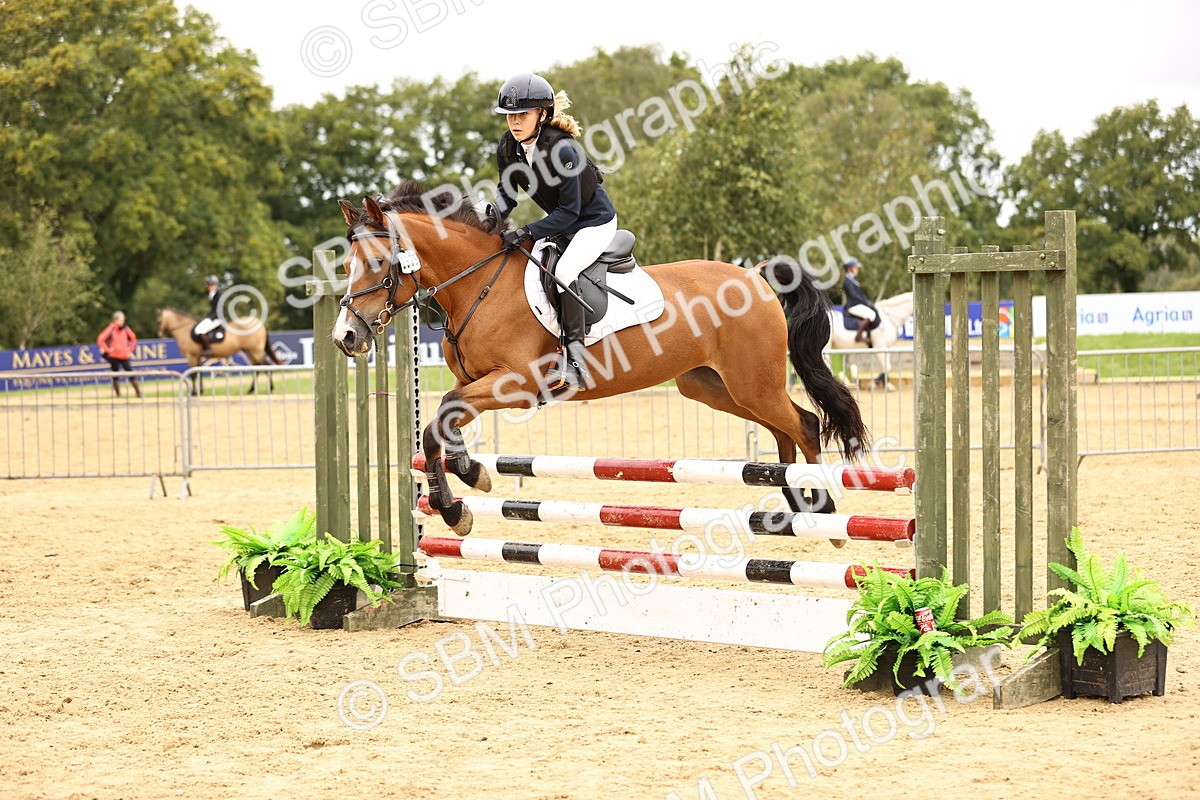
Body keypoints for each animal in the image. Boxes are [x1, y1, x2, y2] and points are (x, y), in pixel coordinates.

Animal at [332, 183, 870, 537]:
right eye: (345, 265)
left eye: (377, 264)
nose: (345, 337)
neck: (477, 283)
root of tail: (756, 277)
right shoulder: (478, 384)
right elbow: (445, 420)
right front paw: (471, 475)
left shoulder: (515, 383)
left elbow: (439, 417)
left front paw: (453, 509)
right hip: (715, 387)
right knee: (785, 429)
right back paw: (794, 506)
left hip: (752, 383)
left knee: (803, 425)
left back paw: (824, 510)